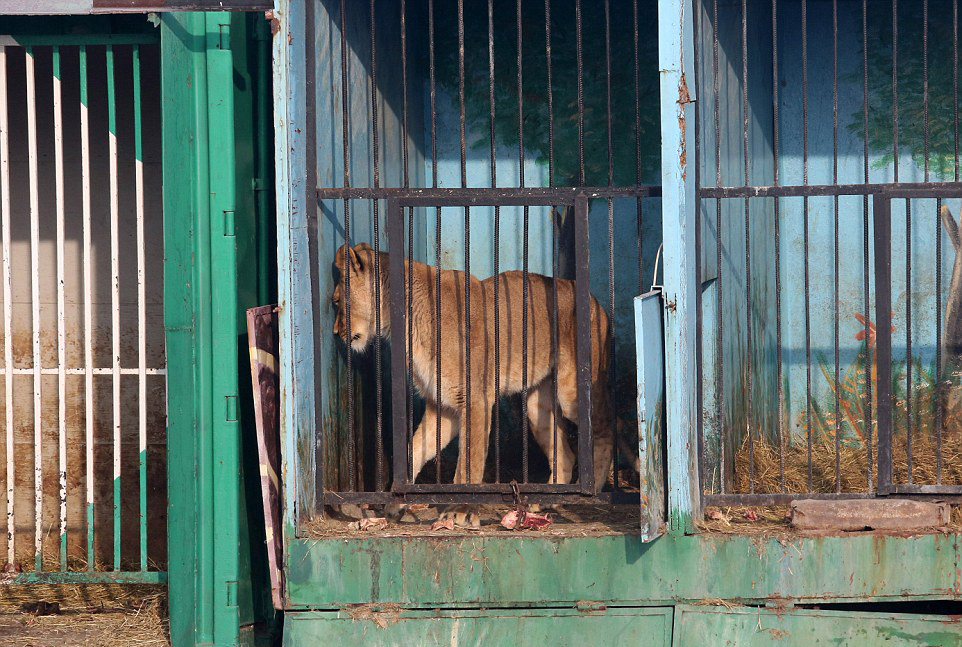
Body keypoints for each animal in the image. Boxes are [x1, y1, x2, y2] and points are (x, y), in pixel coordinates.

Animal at [330, 240, 616, 528]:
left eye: (337, 301)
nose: (335, 333)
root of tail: (594, 300)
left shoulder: (476, 399)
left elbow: (468, 464)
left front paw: (461, 511)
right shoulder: (443, 405)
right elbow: (416, 449)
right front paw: (395, 503)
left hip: (572, 393)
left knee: (606, 430)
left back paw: (594, 491)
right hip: (538, 407)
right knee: (565, 453)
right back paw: (549, 499)